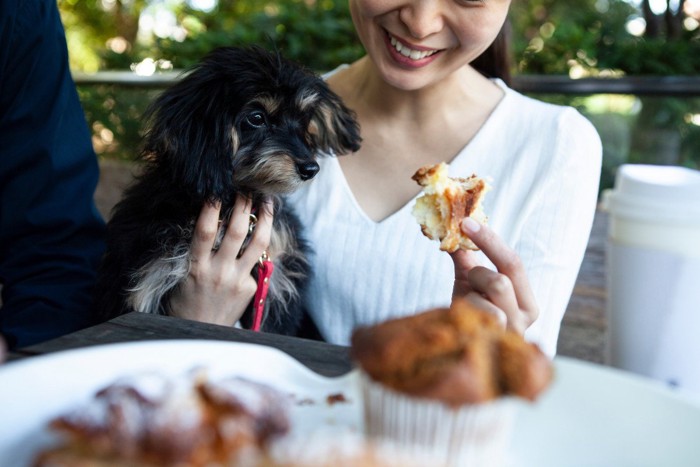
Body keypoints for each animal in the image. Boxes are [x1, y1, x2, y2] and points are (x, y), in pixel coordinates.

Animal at [95, 44, 360, 336]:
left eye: (304, 120)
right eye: (257, 118)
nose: (311, 168)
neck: (232, 200)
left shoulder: (277, 287)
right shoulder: (147, 281)